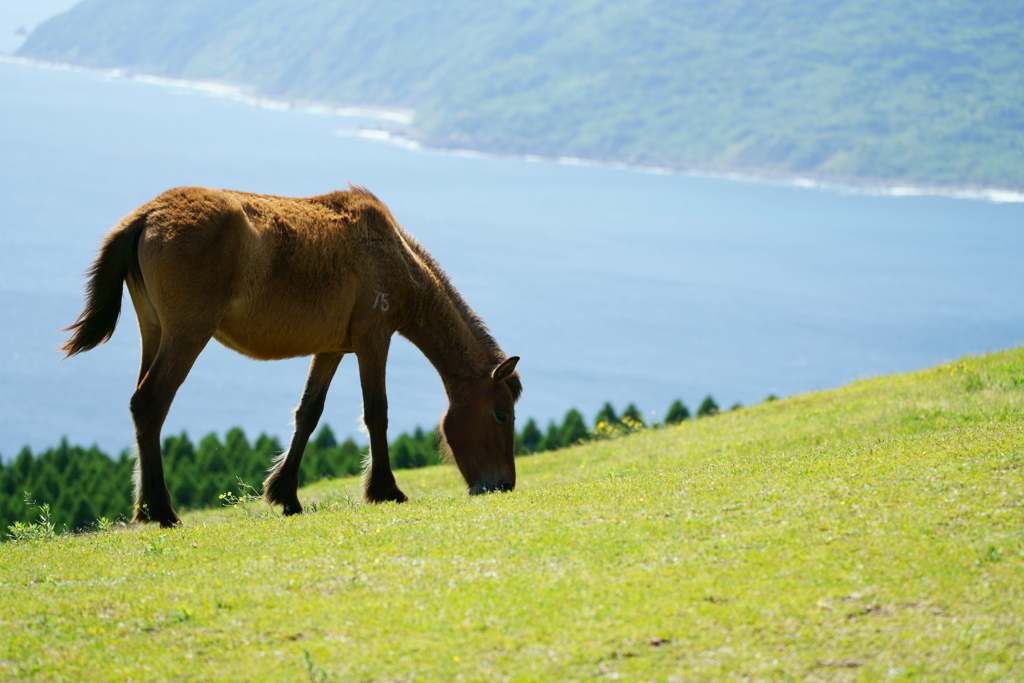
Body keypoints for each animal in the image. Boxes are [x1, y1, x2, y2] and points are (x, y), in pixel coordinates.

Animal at [64, 184, 520, 528]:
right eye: (501, 414)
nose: (503, 484)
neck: (394, 256)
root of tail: (146, 215)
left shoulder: (333, 348)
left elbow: (308, 414)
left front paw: (286, 494)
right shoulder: (374, 339)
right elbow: (377, 412)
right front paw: (386, 490)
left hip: (156, 331)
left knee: (142, 408)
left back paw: (146, 507)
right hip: (187, 333)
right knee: (152, 402)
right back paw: (162, 511)